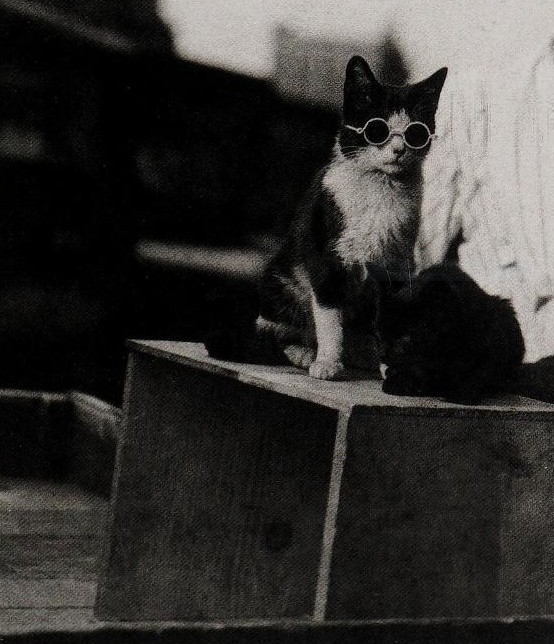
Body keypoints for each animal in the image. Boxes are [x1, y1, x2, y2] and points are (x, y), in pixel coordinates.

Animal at [205, 55, 446, 380]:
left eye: (416, 133)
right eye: (377, 129)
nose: (398, 150)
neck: (380, 190)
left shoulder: (396, 267)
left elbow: (390, 320)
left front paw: (390, 363)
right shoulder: (326, 259)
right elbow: (330, 320)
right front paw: (328, 363)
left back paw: (363, 354)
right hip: (281, 281)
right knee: (278, 337)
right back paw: (306, 353)